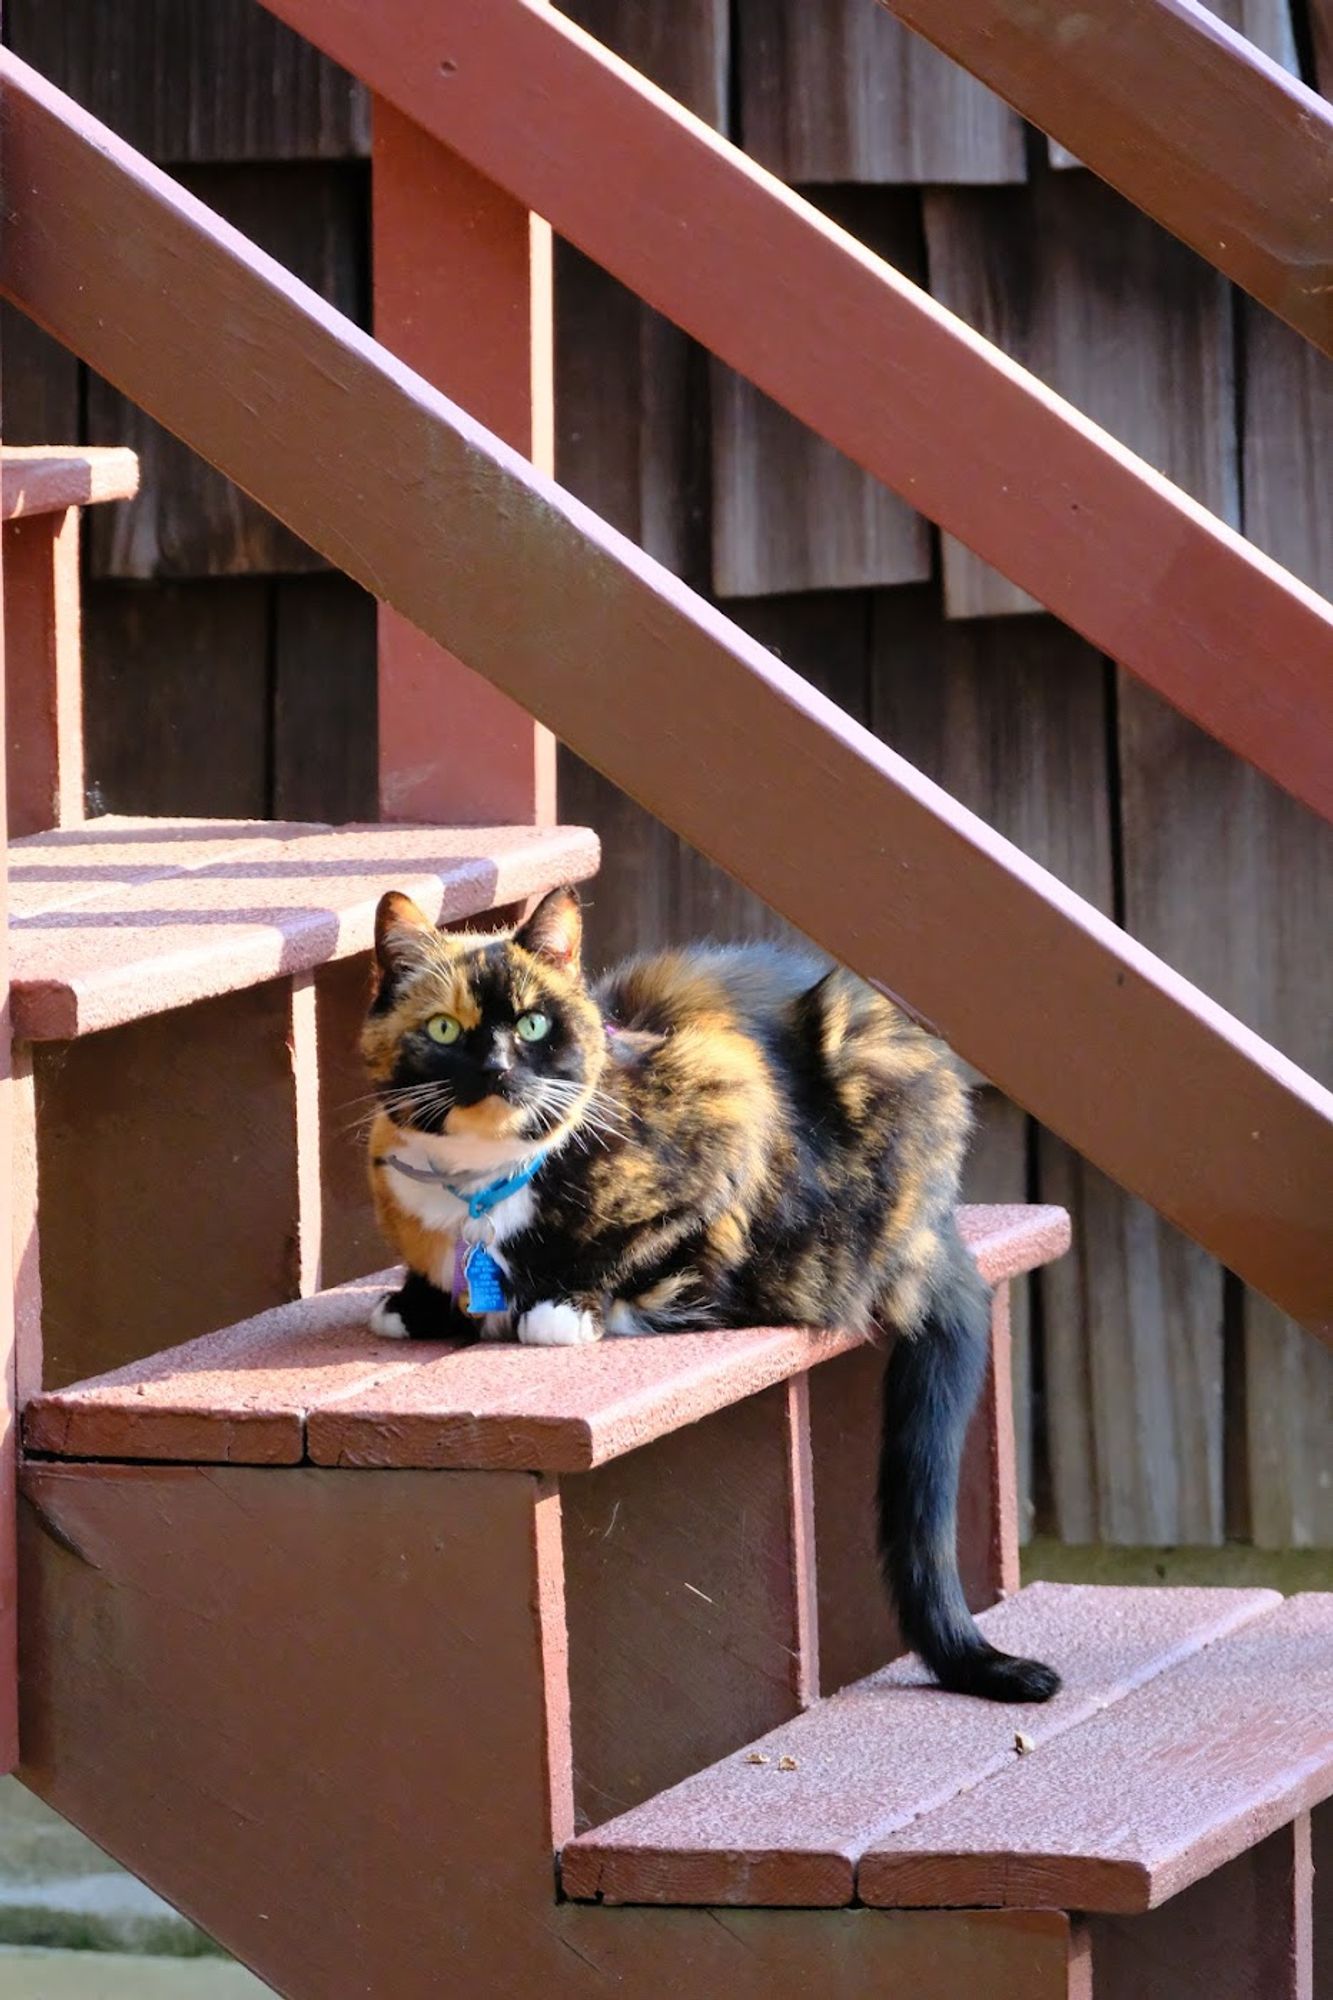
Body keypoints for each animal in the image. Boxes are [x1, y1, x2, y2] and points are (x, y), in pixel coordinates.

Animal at [360, 888, 1056, 1704]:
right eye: (444, 1028)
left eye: (533, 1025)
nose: (498, 1067)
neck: (480, 1186)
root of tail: (937, 1214)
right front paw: (415, 1303)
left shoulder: (727, 1116)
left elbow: (637, 1252)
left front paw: (561, 1308)